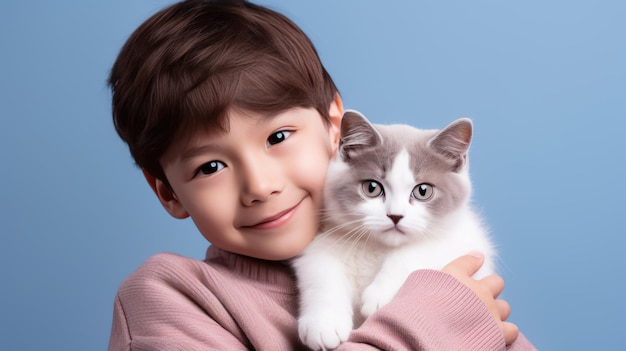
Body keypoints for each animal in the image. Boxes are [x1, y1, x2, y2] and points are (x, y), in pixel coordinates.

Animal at [292, 110, 492, 351]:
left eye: (423, 191)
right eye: (372, 188)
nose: (395, 215)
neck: (378, 248)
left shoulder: (461, 241)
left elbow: (415, 253)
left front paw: (380, 296)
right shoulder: (322, 244)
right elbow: (320, 272)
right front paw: (324, 323)